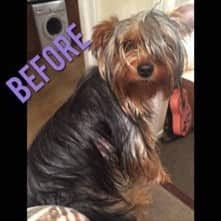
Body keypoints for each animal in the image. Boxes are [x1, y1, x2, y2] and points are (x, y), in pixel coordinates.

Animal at [27, 6, 193, 221]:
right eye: (128, 44)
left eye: (163, 42)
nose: (145, 69)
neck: (130, 91)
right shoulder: (130, 131)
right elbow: (147, 157)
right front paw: (162, 176)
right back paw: (139, 198)